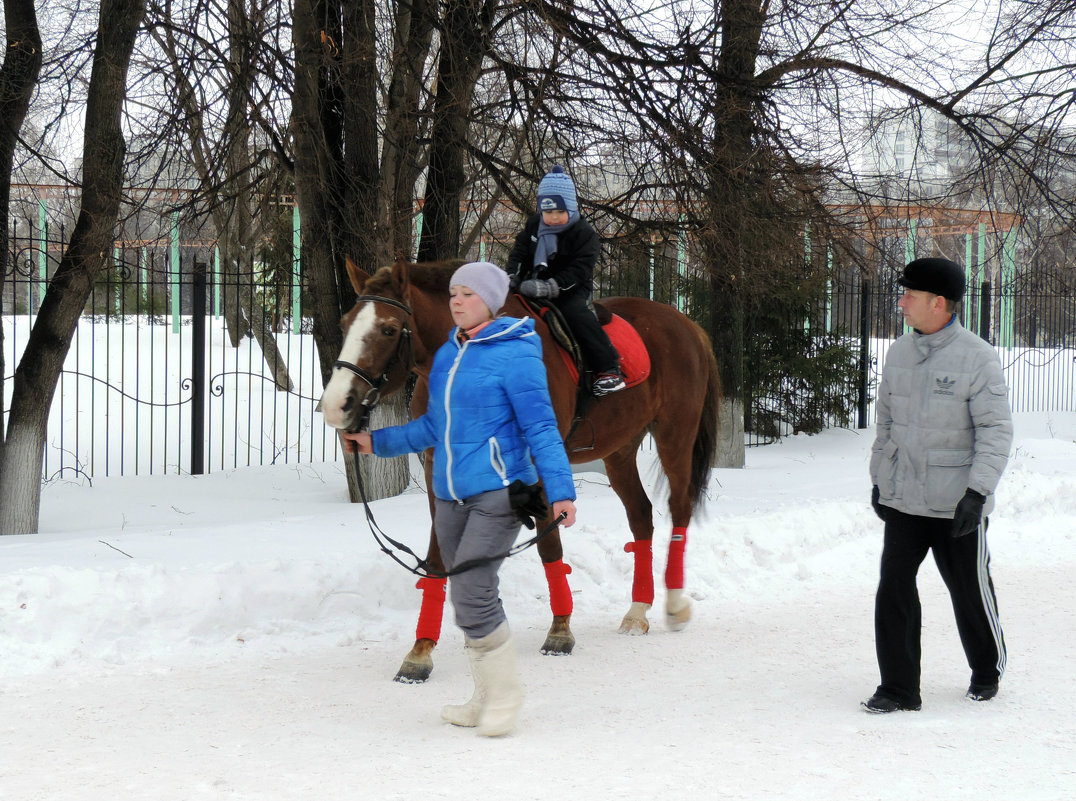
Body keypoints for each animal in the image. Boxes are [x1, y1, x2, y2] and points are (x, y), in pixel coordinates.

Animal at [318, 258, 723, 680]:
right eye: (346, 324)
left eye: (388, 329)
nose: (336, 404)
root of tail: (687, 325)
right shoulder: (438, 469)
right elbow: (440, 557)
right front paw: (422, 650)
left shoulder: (538, 464)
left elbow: (549, 545)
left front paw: (560, 630)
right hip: (620, 450)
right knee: (641, 516)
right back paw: (637, 611)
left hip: (675, 436)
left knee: (679, 508)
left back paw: (674, 603)